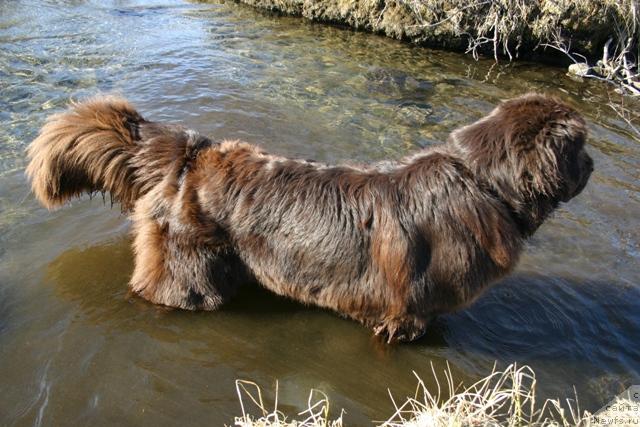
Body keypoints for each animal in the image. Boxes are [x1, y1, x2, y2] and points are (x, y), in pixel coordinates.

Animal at [26, 94, 596, 344]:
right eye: (580, 148)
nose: (593, 165)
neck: (482, 180)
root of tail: (192, 153)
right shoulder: (404, 313)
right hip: (191, 272)